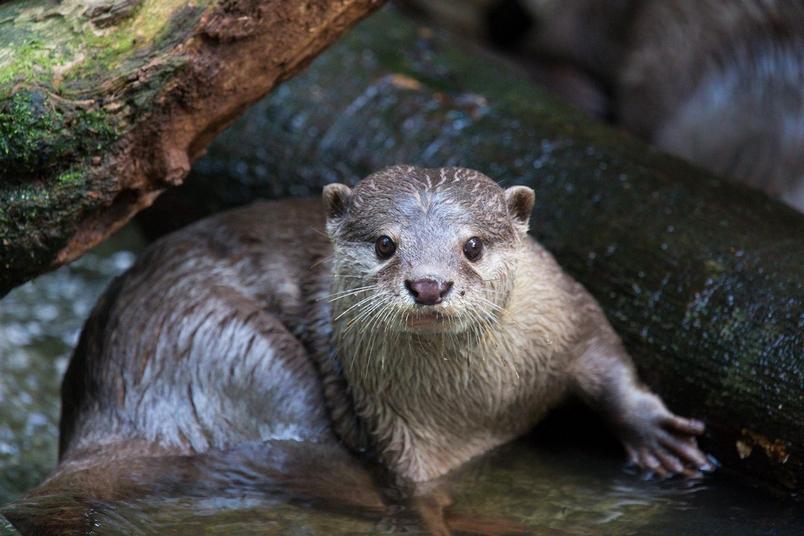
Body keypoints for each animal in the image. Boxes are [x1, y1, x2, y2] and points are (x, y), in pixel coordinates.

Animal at [58, 164, 708, 482]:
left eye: (472, 245)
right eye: (384, 244)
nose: (429, 284)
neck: (483, 405)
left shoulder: (567, 310)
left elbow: (608, 360)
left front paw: (658, 436)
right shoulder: (398, 434)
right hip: (226, 344)